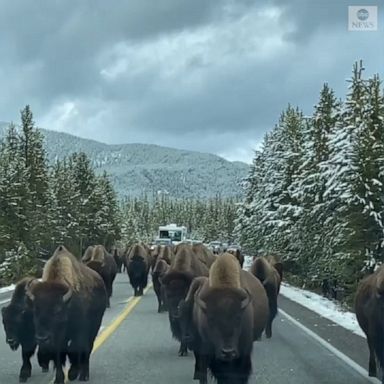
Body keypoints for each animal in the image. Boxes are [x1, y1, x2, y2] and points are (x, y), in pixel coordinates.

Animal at [26, 246, 108, 384]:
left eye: (57, 311)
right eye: (35, 310)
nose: (42, 338)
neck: (68, 304)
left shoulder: (79, 331)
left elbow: (76, 349)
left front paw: (73, 373)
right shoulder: (58, 339)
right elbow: (59, 356)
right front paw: (59, 379)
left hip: (95, 326)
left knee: (88, 349)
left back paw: (84, 375)